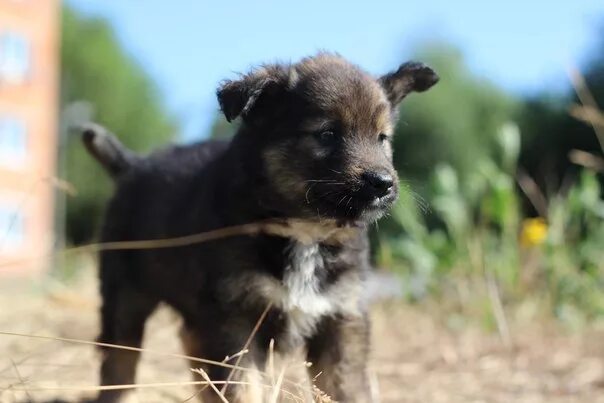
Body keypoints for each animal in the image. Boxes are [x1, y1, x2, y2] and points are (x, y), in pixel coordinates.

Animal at [82, 53, 436, 403]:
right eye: (327, 134)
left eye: (382, 138)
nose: (382, 183)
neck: (305, 230)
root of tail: (131, 164)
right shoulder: (235, 321)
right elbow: (243, 389)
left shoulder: (342, 318)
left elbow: (348, 390)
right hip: (124, 299)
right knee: (119, 362)